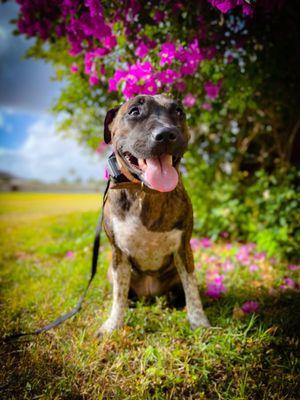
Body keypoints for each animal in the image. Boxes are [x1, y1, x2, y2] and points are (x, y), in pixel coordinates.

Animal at [99, 94, 210, 334]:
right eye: (134, 111)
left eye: (178, 111)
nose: (166, 134)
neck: (146, 193)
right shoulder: (118, 254)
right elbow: (119, 295)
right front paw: (113, 324)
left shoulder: (183, 249)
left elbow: (191, 288)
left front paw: (199, 321)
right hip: (112, 272)